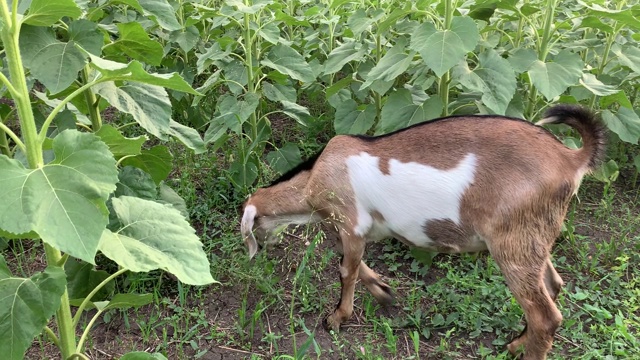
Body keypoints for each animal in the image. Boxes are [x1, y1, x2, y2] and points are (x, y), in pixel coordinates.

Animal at [239, 102, 604, 358]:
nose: (262, 253)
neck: (315, 178)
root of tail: (571, 158)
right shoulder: (351, 229)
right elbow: (354, 264)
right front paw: (384, 291)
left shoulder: (351, 223)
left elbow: (346, 270)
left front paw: (337, 318)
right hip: (534, 237)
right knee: (553, 286)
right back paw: (515, 345)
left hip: (512, 243)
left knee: (545, 316)